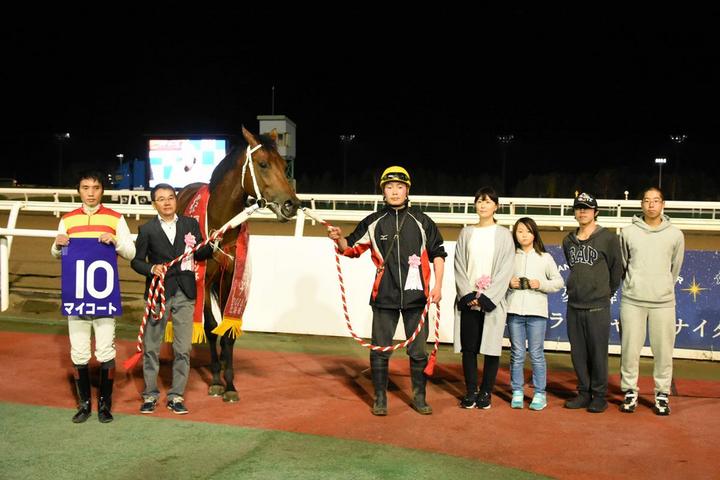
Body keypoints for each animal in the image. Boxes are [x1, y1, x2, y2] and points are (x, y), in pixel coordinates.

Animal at [176, 126, 300, 402]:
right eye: (263, 164)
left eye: (284, 165)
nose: (292, 205)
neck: (221, 224)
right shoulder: (204, 279)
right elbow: (211, 327)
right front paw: (215, 380)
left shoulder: (231, 278)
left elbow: (227, 332)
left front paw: (230, 383)